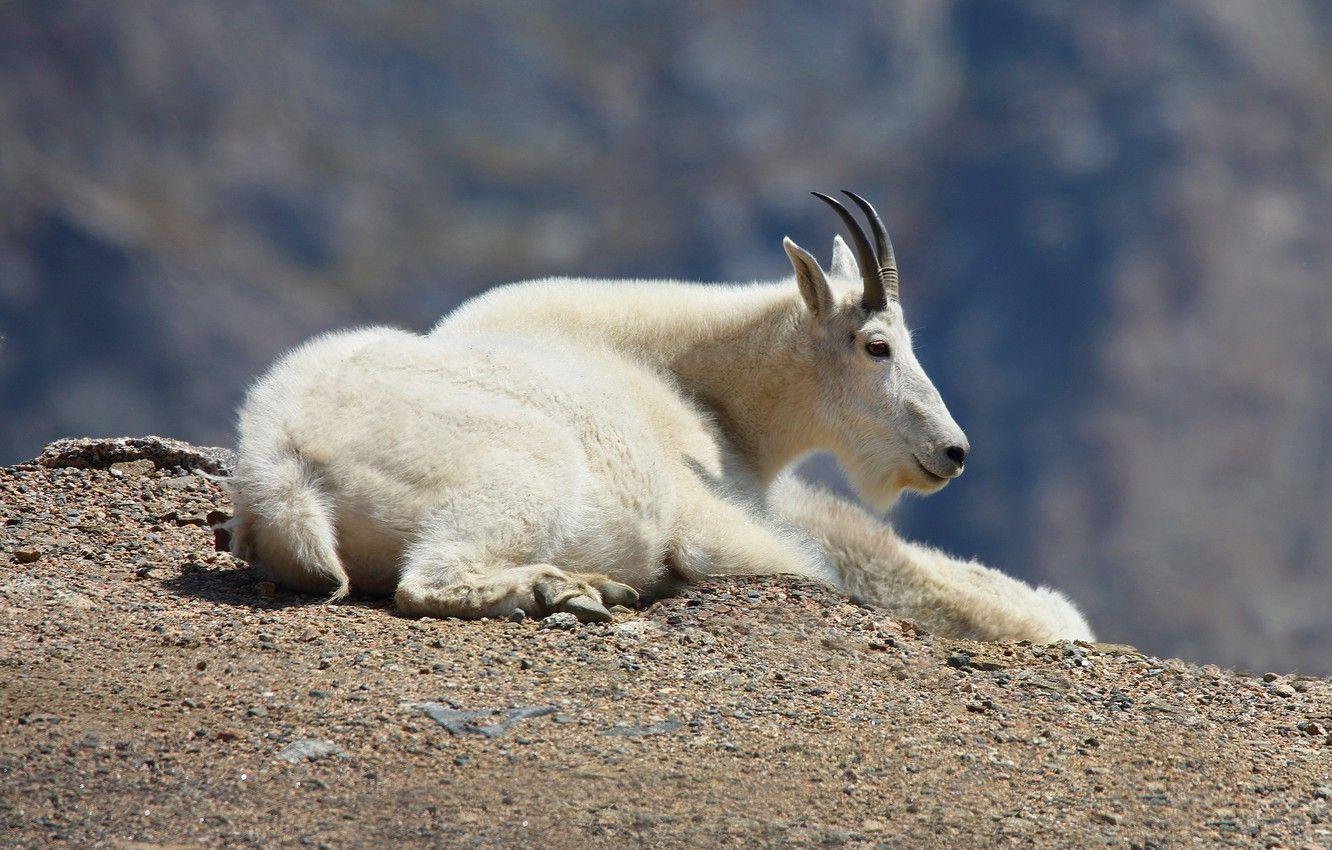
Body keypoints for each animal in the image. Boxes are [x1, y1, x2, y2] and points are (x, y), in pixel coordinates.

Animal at [231, 191, 1091, 639]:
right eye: (877, 345)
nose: (952, 451)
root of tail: (280, 460)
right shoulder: (719, 518)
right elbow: (834, 566)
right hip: (523, 464)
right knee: (427, 581)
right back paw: (569, 591)